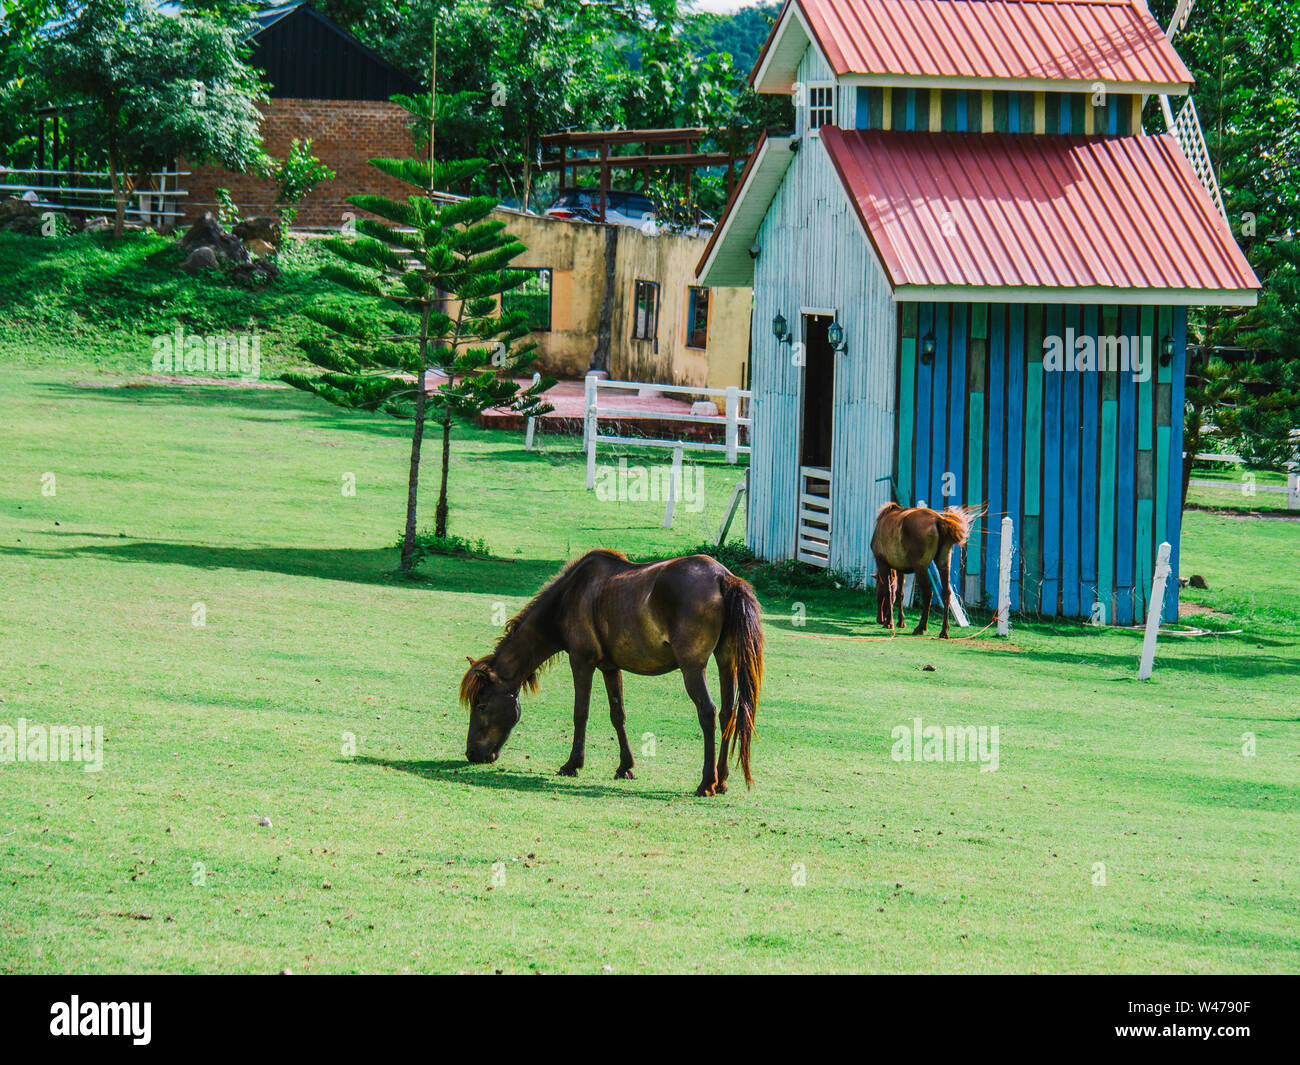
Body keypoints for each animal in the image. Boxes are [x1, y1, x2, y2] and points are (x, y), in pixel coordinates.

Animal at [459, 550, 764, 797]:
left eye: (481, 705)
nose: (472, 753)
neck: (570, 596)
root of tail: (723, 578)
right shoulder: (610, 667)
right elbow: (618, 715)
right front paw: (625, 767)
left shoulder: (581, 661)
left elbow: (580, 713)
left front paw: (572, 764)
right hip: (726, 661)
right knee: (727, 713)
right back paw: (721, 780)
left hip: (693, 668)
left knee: (708, 713)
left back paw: (706, 782)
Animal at [870, 503, 985, 638]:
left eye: (876, 591)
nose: (879, 619)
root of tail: (939, 520)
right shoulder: (900, 567)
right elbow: (899, 593)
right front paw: (900, 621)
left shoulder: (882, 562)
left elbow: (888, 592)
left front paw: (889, 622)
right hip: (943, 563)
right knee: (946, 593)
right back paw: (944, 631)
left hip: (921, 567)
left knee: (927, 593)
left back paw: (920, 627)